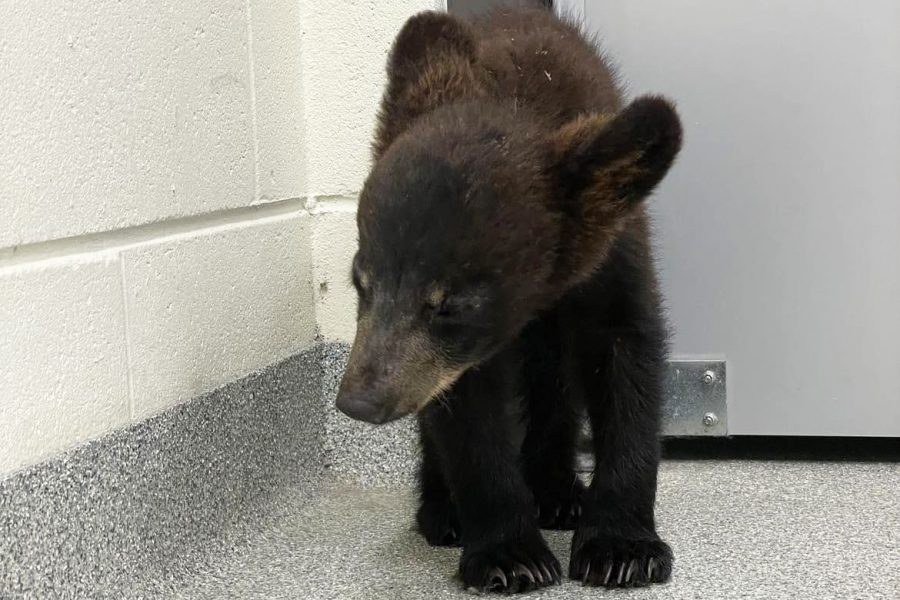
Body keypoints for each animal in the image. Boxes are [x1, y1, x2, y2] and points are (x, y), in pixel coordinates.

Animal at [335, 4, 682, 594]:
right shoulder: (452, 361)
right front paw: (509, 554)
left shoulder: (613, 251)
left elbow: (626, 361)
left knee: (554, 388)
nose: (358, 401)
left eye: (450, 304)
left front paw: (622, 548)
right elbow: (469, 415)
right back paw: (442, 510)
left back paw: (559, 494)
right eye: (362, 281)